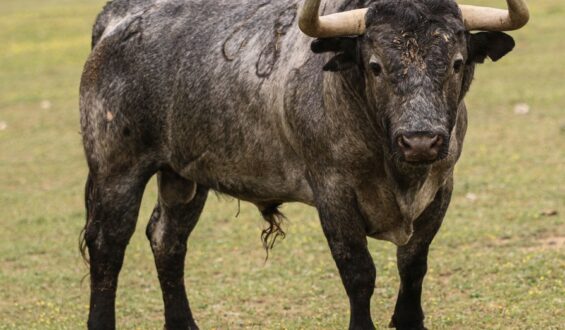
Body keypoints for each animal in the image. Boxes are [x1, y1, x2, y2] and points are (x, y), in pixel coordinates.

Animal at [79, 0, 528, 328]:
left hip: (183, 176)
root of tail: (117, 17)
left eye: (456, 62)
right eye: (376, 65)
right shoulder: (333, 193)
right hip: (116, 169)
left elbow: (413, 264)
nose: (420, 140)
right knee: (108, 246)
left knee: (167, 240)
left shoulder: (441, 188)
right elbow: (359, 273)